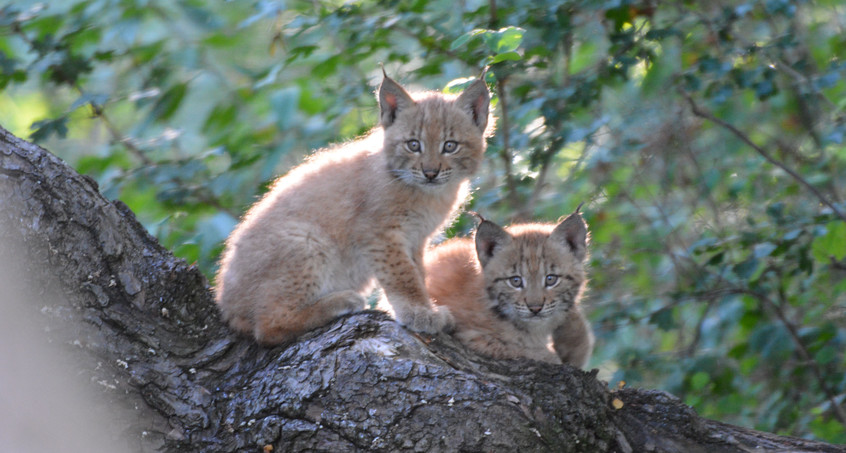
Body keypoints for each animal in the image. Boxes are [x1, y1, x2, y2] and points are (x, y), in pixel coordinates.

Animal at [214, 72, 490, 344]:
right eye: (413, 145)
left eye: (450, 145)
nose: (430, 173)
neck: (428, 192)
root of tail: (224, 305)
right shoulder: (379, 233)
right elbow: (403, 276)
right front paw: (419, 313)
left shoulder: (416, 237)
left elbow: (418, 273)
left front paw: (418, 308)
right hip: (306, 239)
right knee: (267, 328)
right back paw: (339, 301)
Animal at [424, 210, 596, 366]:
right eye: (515, 281)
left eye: (551, 279)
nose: (535, 308)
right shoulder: (471, 335)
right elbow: (519, 348)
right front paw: (551, 356)